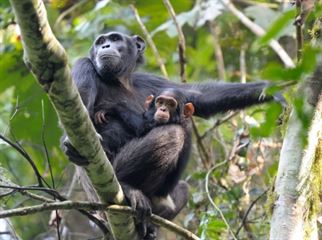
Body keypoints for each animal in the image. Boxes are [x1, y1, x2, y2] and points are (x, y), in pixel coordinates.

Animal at [64, 31, 280, 238]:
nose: (106, 46)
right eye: (100, 41)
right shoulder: (83, 67)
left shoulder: (150, 82)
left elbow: (198, 95)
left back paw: (149, 228)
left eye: (115, 38)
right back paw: (127, 188)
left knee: (183, 187)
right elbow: (79, 116)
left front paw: (272, 89)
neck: (121, 81)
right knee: (173, 133)